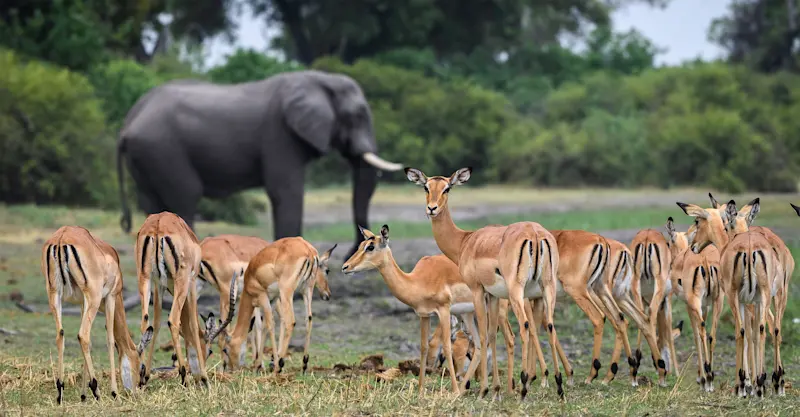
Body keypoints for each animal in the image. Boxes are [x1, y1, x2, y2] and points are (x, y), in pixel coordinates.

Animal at [116, 70, 403, 257]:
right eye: (358, 116)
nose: (353, 252)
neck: (319, 80)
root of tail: (128, 123)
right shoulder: (280, 135)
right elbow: (286, 193)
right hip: (164, 150)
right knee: (185, 198)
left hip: (146, 157)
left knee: (152, 204)